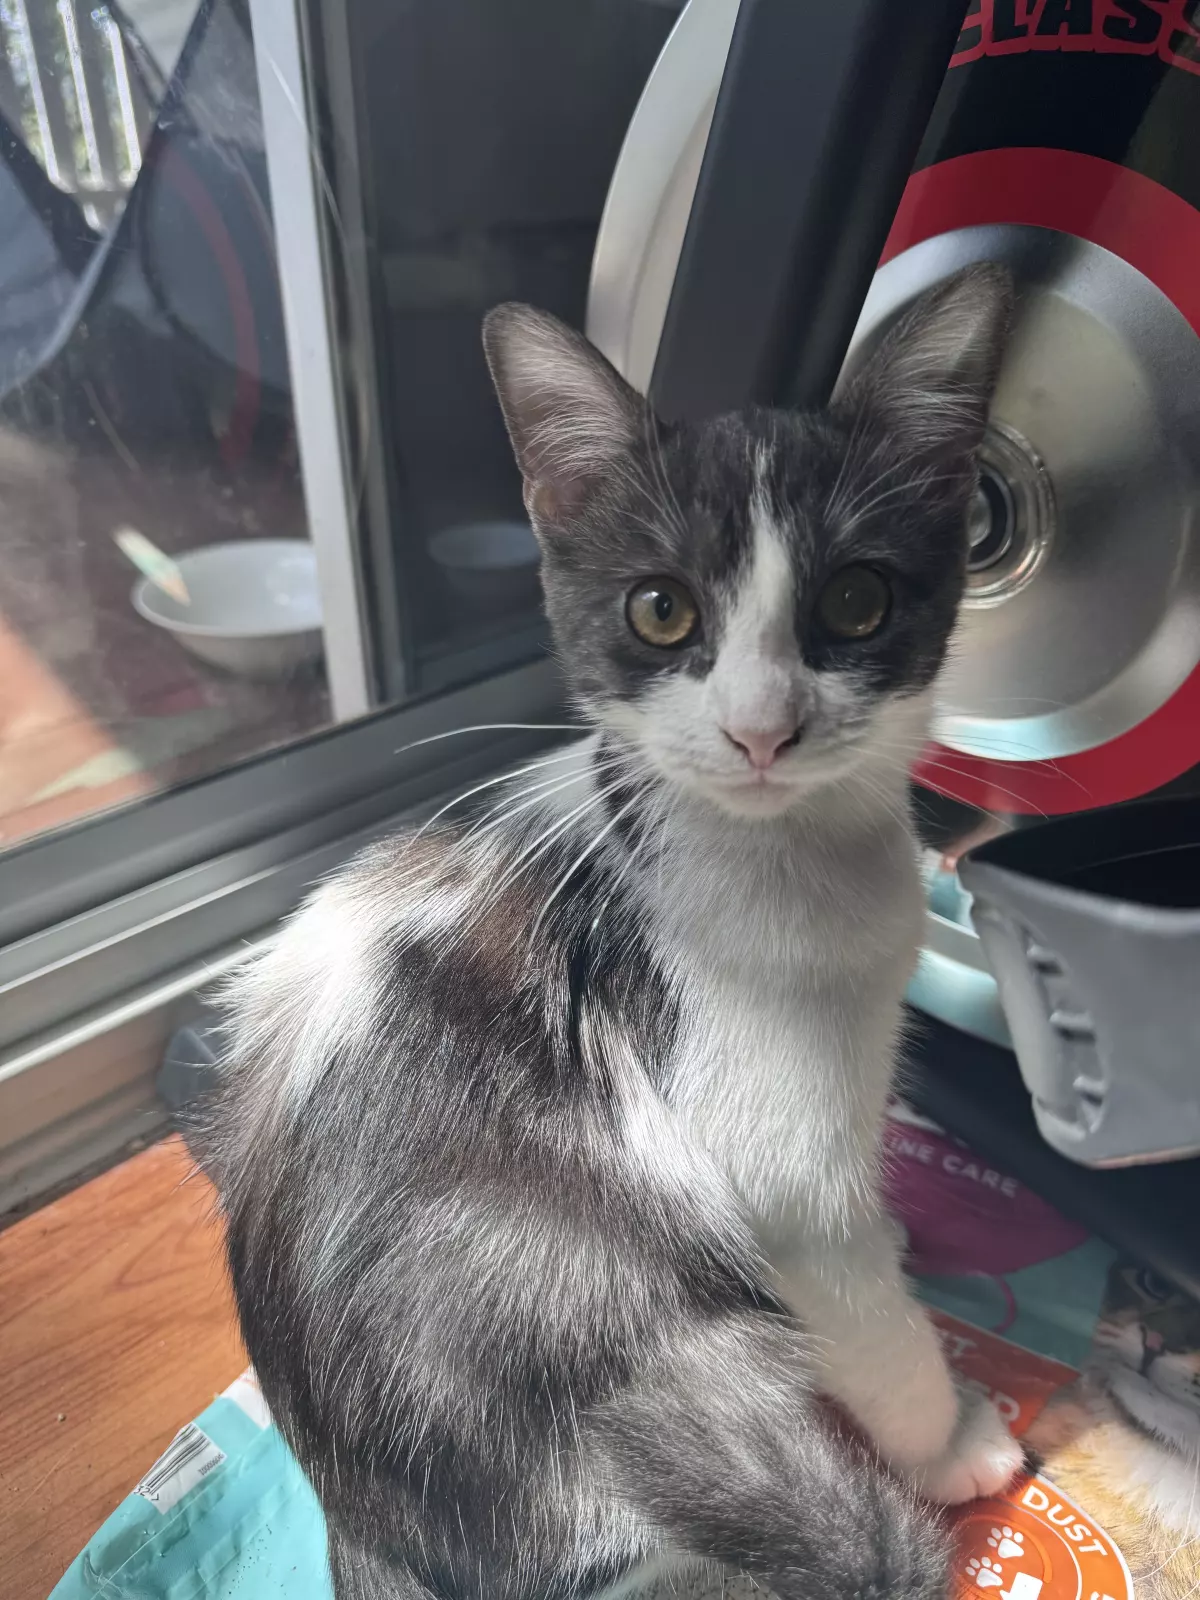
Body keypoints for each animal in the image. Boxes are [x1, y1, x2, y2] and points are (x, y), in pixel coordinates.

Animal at [201, 262, 1021, 1600]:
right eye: (660, 611)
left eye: (857, 599)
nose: (762, 728)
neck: (786, 853)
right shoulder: (776, 1176)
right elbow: (862, 1304)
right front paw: (950, 1438)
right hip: (655, 1367)